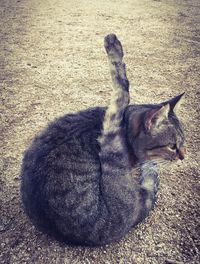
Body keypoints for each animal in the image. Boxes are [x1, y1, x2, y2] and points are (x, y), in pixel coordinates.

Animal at [19, 34, 185, 246]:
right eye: (172, 146)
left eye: (183, 143)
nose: (183, 156)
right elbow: (122, 90)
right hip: (112, 146)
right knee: (122, 91)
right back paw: (113, 46)